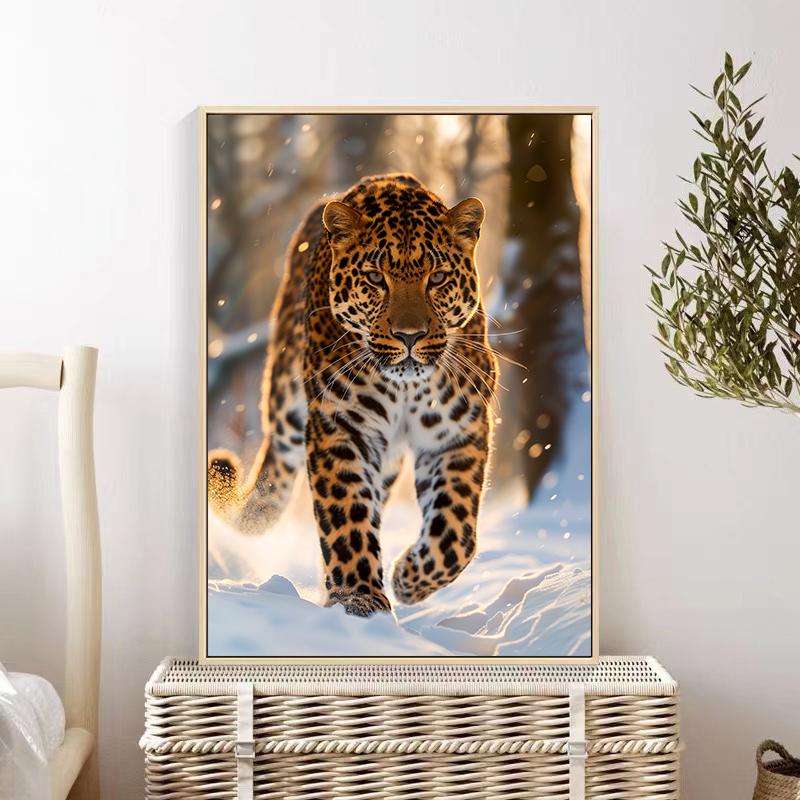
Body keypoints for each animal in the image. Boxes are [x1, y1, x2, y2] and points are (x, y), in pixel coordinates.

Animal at [208, 173, 498, 617]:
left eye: (437, 278)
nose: (409, 336)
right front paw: (359, 598)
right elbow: (346, 514)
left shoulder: (458, 430)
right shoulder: (340, 425)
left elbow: (456, 529)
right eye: (376, 278)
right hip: (286, 405)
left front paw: (408, 578)